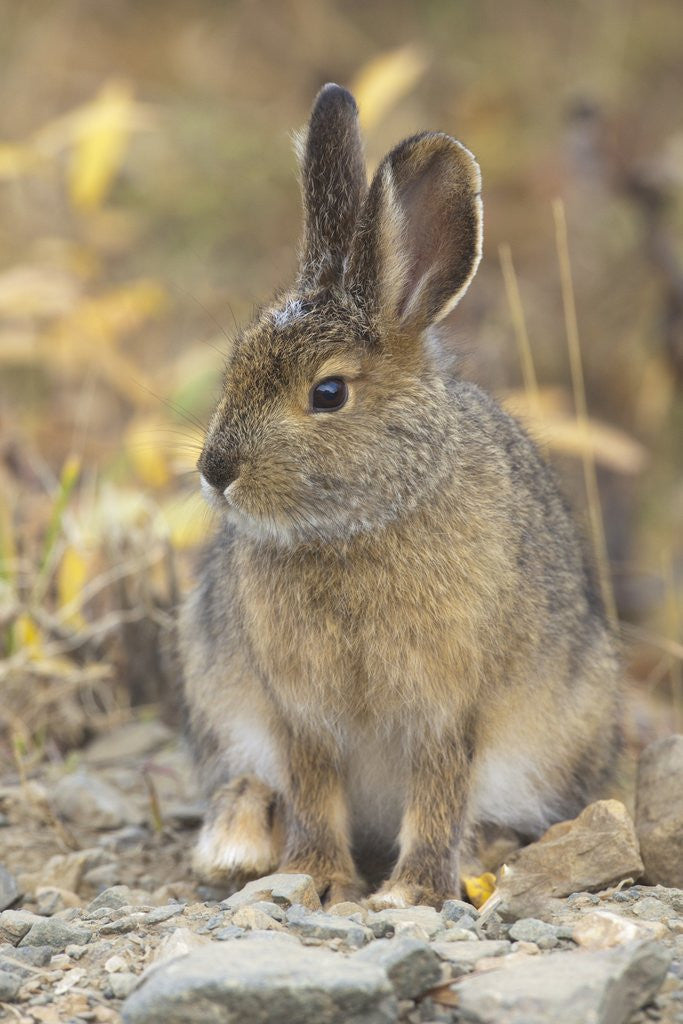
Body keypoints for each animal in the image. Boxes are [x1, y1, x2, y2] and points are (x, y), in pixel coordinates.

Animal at [179, 83, 621, 909]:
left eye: (327, 393)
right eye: (236, 365)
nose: (215, 470)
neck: (359, 525)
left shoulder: (447, 707)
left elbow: (440, 793)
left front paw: (411, 891)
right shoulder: (299, 712)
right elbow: (313, 789)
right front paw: (317, 878)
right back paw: (233, 848)